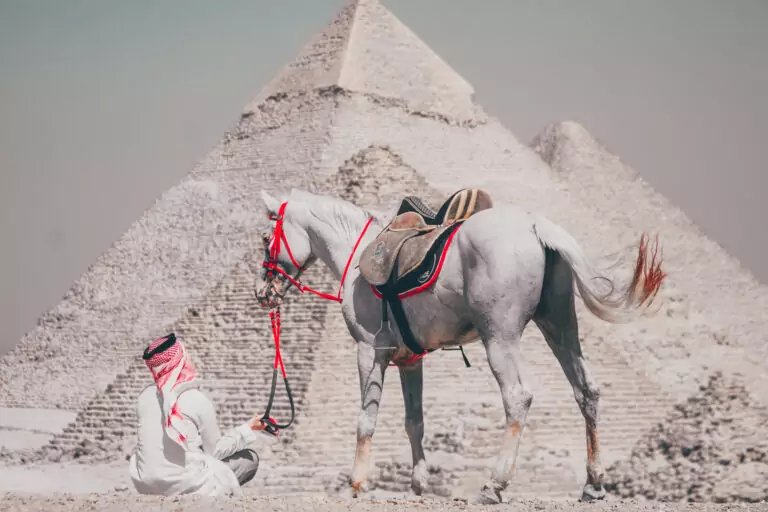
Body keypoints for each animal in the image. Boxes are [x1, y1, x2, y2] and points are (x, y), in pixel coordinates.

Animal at [254, 187, 665, 504]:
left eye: (264, 238)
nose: (262, 292)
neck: (356, 255)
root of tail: (536, 225)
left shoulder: (370, 350)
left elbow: (365, 419)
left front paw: (356, 483)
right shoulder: (410, 360)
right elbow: (414, 422)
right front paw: (418, 484)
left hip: (500, 335)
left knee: (518, 397)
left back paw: (494, 483)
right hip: (559, 324)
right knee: (586, 390)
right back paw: (593, 484)